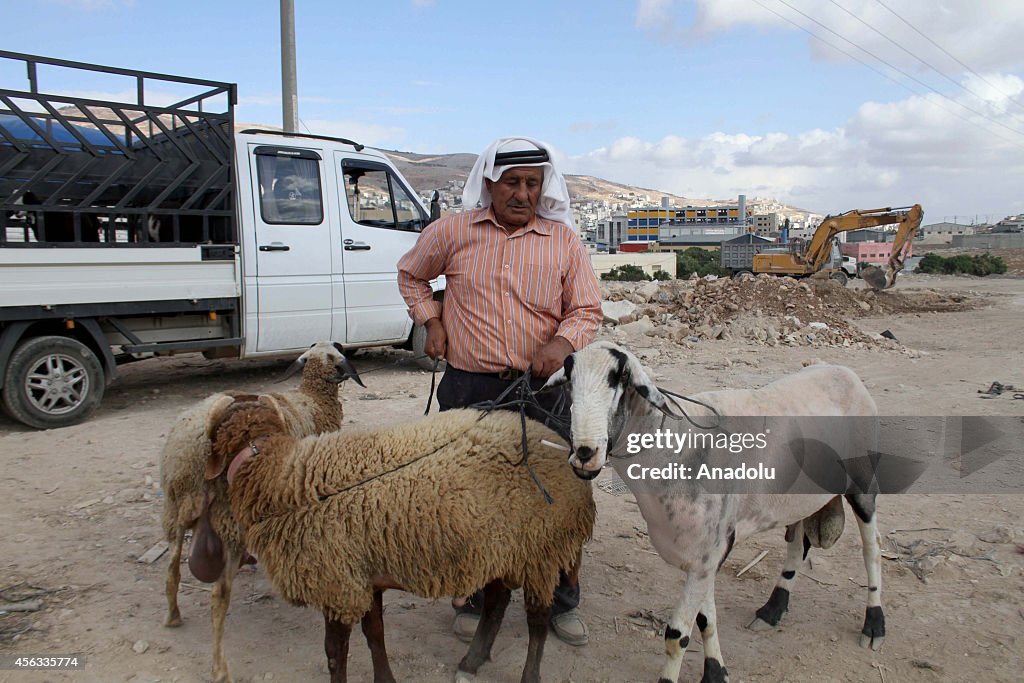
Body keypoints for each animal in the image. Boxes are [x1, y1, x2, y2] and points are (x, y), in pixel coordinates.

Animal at [159, 342, 364, 683]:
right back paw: (220, 669)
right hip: (226, 520)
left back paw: (173, 615)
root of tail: (192, 447)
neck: (312, 401)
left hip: (177, 507)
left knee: (172, 566)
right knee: (219, 595)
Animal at [202, 395, 598, 683]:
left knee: (537, 622)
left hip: (541, 550)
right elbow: (375, 636)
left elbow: (334, 653)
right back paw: (470, 663)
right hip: (502, 548)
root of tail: (565, 454)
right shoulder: (363, 578)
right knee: (496, 604)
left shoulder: (337, 584)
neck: (277, 475)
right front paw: (386, 679)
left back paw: (526, 675)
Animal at [544, 344, 888, 683]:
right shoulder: (706, 555)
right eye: (570, 383)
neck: (675, 447)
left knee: (871, 550)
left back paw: (874, 624)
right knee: (798, 545)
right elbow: (706, 620)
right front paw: (715, 672)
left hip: (863, 482)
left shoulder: (709, 551)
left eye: (621, 379)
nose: (584, 454)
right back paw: (772, 610)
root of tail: (844, 372)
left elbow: (677, 635)